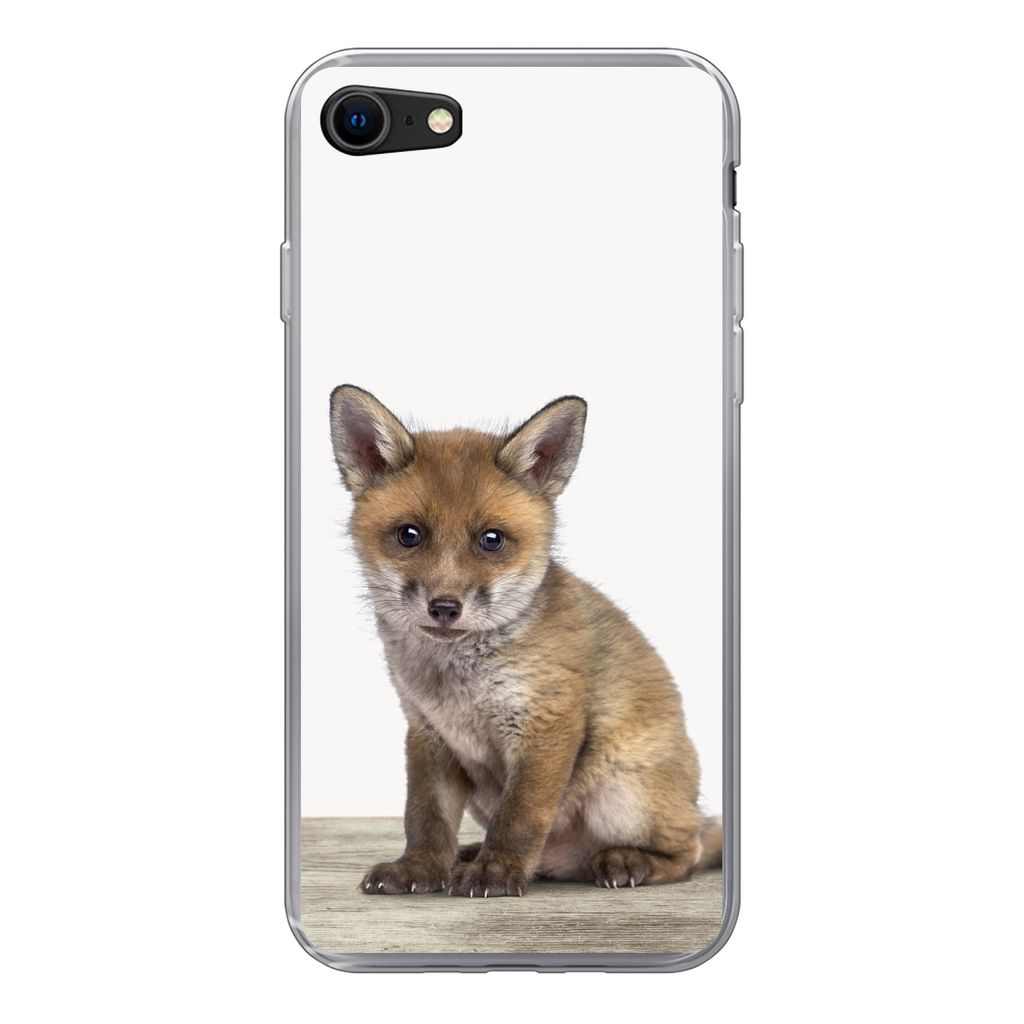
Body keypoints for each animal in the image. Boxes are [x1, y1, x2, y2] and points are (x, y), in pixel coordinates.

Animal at [329, 384, 722, 898]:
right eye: (409, 535)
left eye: (491, 540)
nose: (445, 607)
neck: (458, 685)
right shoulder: (428, 733)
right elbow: (425, 817)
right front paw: (419, 868)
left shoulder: (547, 723)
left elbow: (520, 816)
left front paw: (497, 870)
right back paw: (472, 855)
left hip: (623, 795)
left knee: (689, 850)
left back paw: (627, 861)